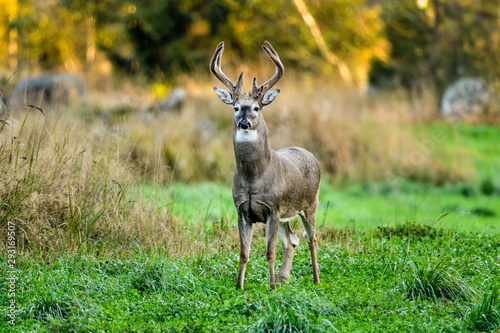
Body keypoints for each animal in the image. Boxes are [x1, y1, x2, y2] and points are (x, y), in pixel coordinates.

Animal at [210, 40, 320, 290]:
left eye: (256, 108)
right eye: (236, 107)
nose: (244, 123)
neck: (254, 178)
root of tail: (311, 155)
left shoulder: (273, 207)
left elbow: (269, 252)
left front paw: (270, 289)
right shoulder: (242, 209)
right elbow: (244, 253)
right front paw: (240, 287)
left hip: (310, 204)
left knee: (311, 238)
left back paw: (316, 280)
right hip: (286, 214)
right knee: (291, 240)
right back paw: (283, 278)